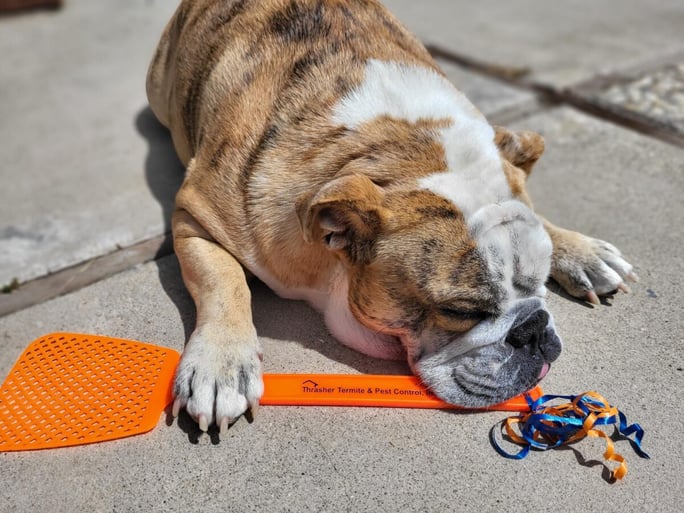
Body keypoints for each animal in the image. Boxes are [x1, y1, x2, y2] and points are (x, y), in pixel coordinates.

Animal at [146, 0, 636, 432]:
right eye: (459, 310)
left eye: (540, 286)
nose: (533, 329)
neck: (396, 151)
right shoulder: (196, 216)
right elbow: (223, 281)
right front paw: (220, 364)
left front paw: (579, 251)